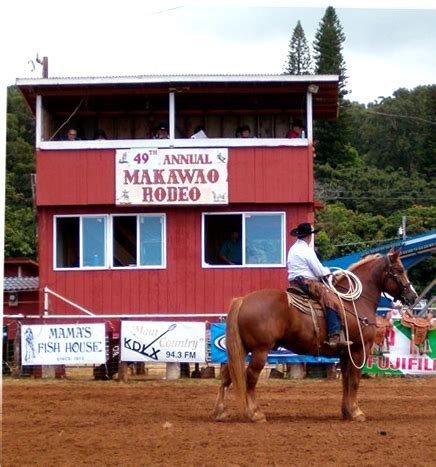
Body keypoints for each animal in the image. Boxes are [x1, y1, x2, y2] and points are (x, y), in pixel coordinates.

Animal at [213, 252, 418, 424]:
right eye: (399, 271)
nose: (413, 296)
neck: (354, 302)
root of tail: (243, 300)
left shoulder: (345, 353)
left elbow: (345, 381)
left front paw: (347, 412)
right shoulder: (359, 350)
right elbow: (354, 381)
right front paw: (357, 412)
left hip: (243, 348)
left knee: (227, 376)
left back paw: (220, 412)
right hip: (260, 351)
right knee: (250, 378)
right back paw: (254, 413)